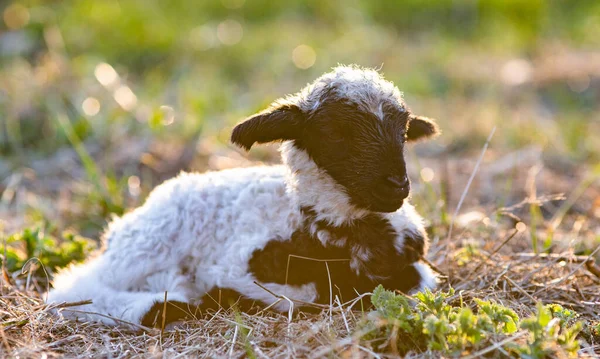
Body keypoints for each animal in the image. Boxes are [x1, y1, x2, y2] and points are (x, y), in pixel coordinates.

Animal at [47, 64, 440, 326]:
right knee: (74, 288)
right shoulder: (236, 265)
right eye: (335, 132)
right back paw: (162, 304)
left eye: (404, 131)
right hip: (146, 245)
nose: (396, 185)